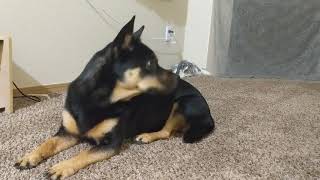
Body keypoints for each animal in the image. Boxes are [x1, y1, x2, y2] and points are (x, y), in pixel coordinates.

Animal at [15, 16, 215, 179]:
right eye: (151, 63)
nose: (178, 77)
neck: (98, 99)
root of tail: (209, 116)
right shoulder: (68, 133)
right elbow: (47, 143)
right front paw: (30, 157)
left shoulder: (110, 143)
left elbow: (83, 154)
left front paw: (61, 166)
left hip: (183, 102)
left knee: (166, 132)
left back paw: (147, 136)